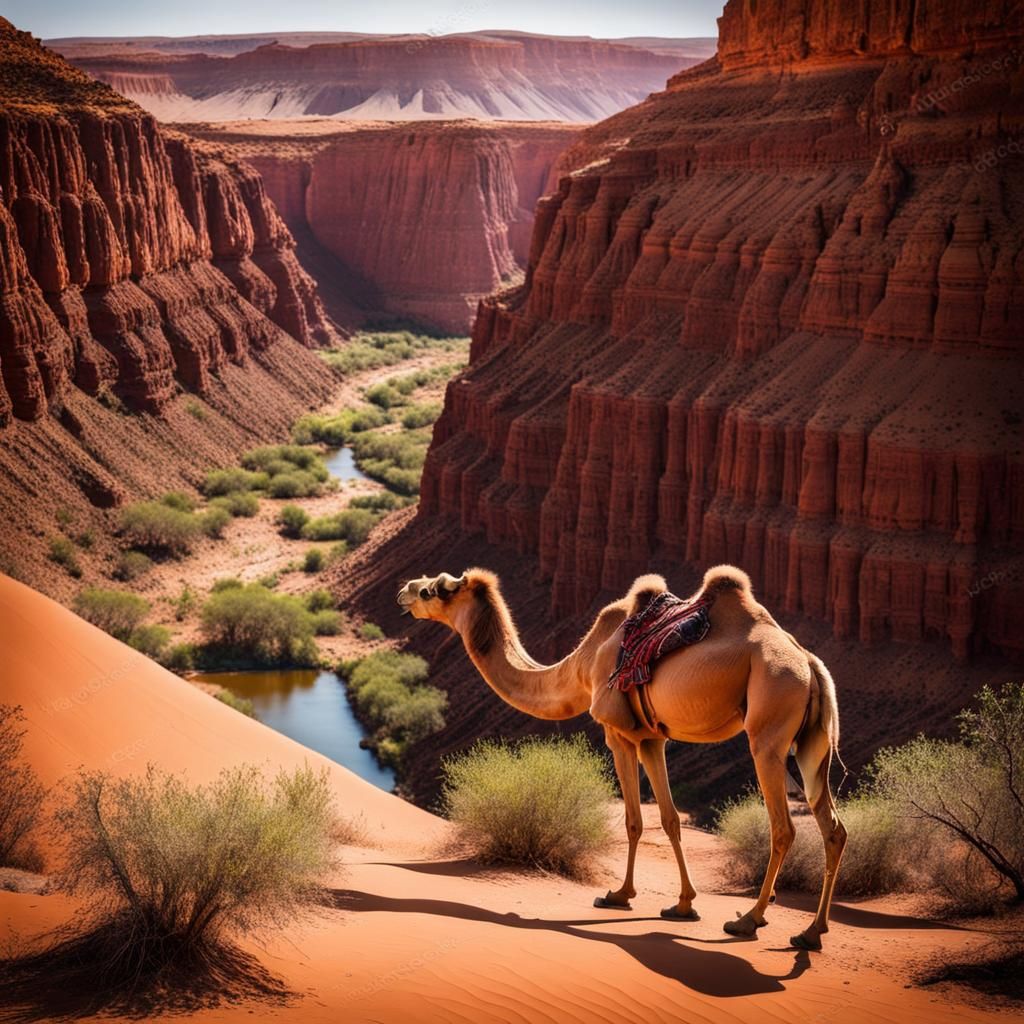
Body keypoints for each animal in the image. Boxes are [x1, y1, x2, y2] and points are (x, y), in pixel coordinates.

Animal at [397, 564, 846, 952]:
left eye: (433, 590)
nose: (404, 591)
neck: (582, 665)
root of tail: (810, 664)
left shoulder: (618, 733)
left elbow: (633, 819)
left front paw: (619, 895)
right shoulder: (652, 737)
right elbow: (668, 818)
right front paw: (683, 905)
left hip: (768, 728)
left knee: (783, 827)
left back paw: (748, 920)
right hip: (814, 746)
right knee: (834, 829)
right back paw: (811, 933)